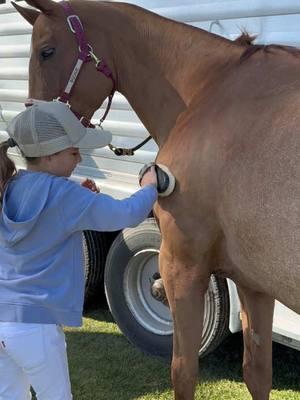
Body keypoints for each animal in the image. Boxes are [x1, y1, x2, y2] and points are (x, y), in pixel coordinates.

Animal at [12, 0, 298, 400]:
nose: (25, 139)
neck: (210, 91)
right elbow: (257, 372)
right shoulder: (254, 282)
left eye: (47, 51)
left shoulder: (181, 266)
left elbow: (183, 371)